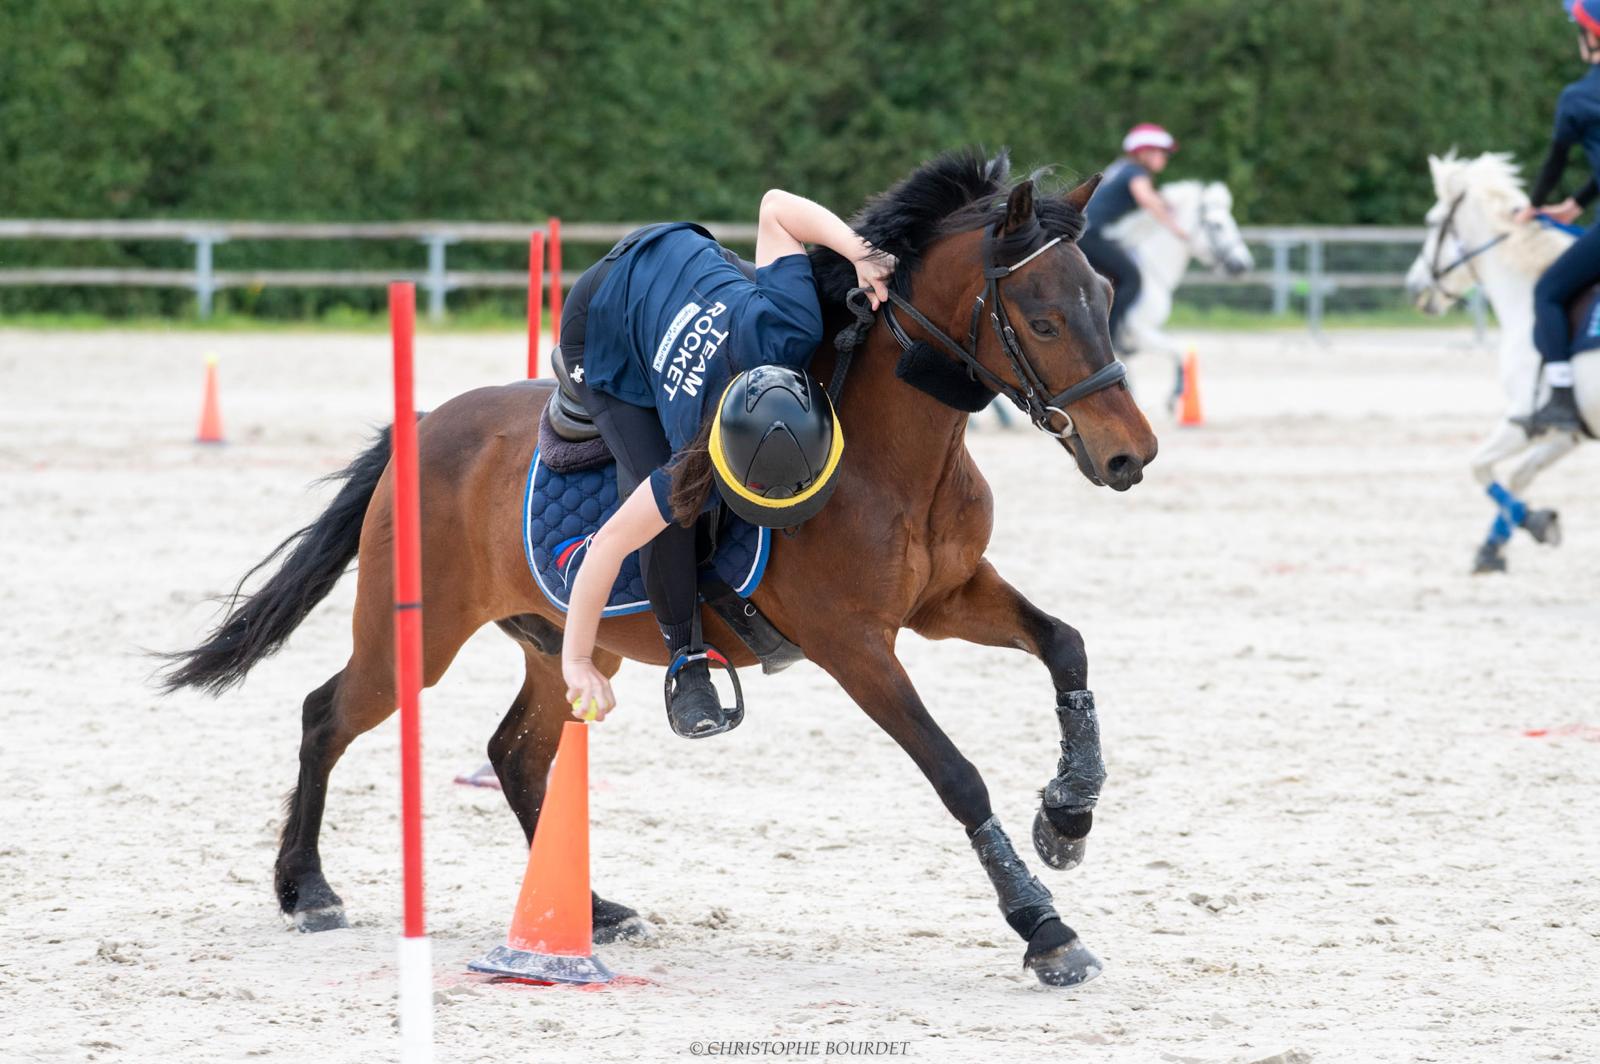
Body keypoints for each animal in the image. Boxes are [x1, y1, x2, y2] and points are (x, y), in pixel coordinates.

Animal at [160, 149, 1159, 987]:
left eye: (1107, 294)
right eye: (1041, 319)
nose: (1131, 457)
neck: (888, 453)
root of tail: (425, 424)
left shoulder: (948, 597)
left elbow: (1065, 646)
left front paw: (1068, 814)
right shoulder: (854, 644)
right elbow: (955, 773)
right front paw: (1044, 927)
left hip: (564, 645)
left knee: (514, 754)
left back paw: (590, 913)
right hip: (416, 635)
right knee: (327, 714)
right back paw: (309, 892)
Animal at [1403, 151, 1600, 574]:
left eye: (1431, 222)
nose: (1414, 287)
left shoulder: (1524, 419)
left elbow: (1478, 466)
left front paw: (1534, 521)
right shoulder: (1568, 432)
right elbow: (1520, 476)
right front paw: (1495, 544)